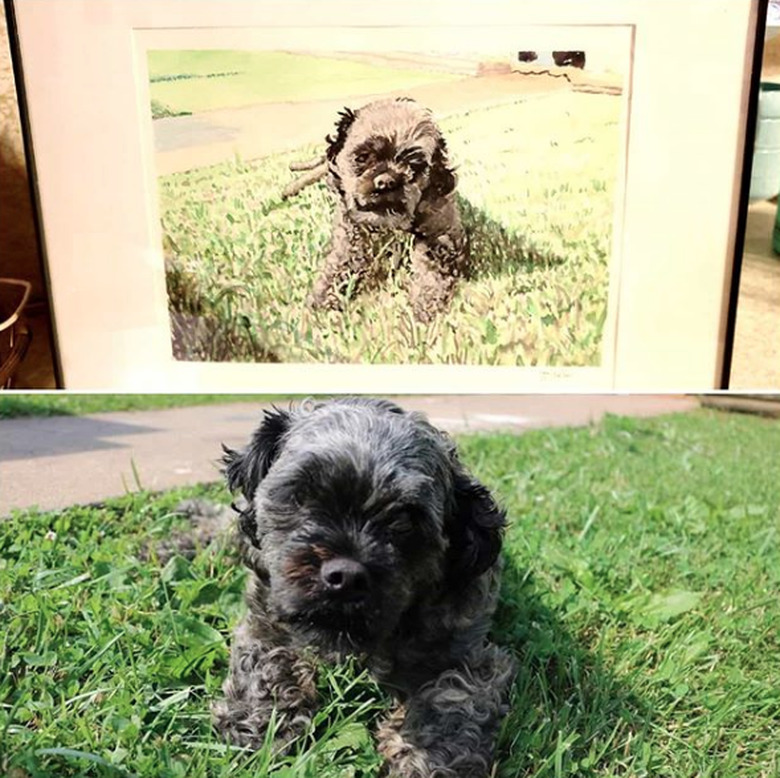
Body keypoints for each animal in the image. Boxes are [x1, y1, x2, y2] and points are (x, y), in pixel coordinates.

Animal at [204, 400, 516, 776]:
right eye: (301, 495)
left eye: (404, 519)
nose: (346, 577)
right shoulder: (263, 622)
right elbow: (264, 666)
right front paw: (259, 724)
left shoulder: (471, 658)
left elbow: (451, 702)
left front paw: (423, 760)